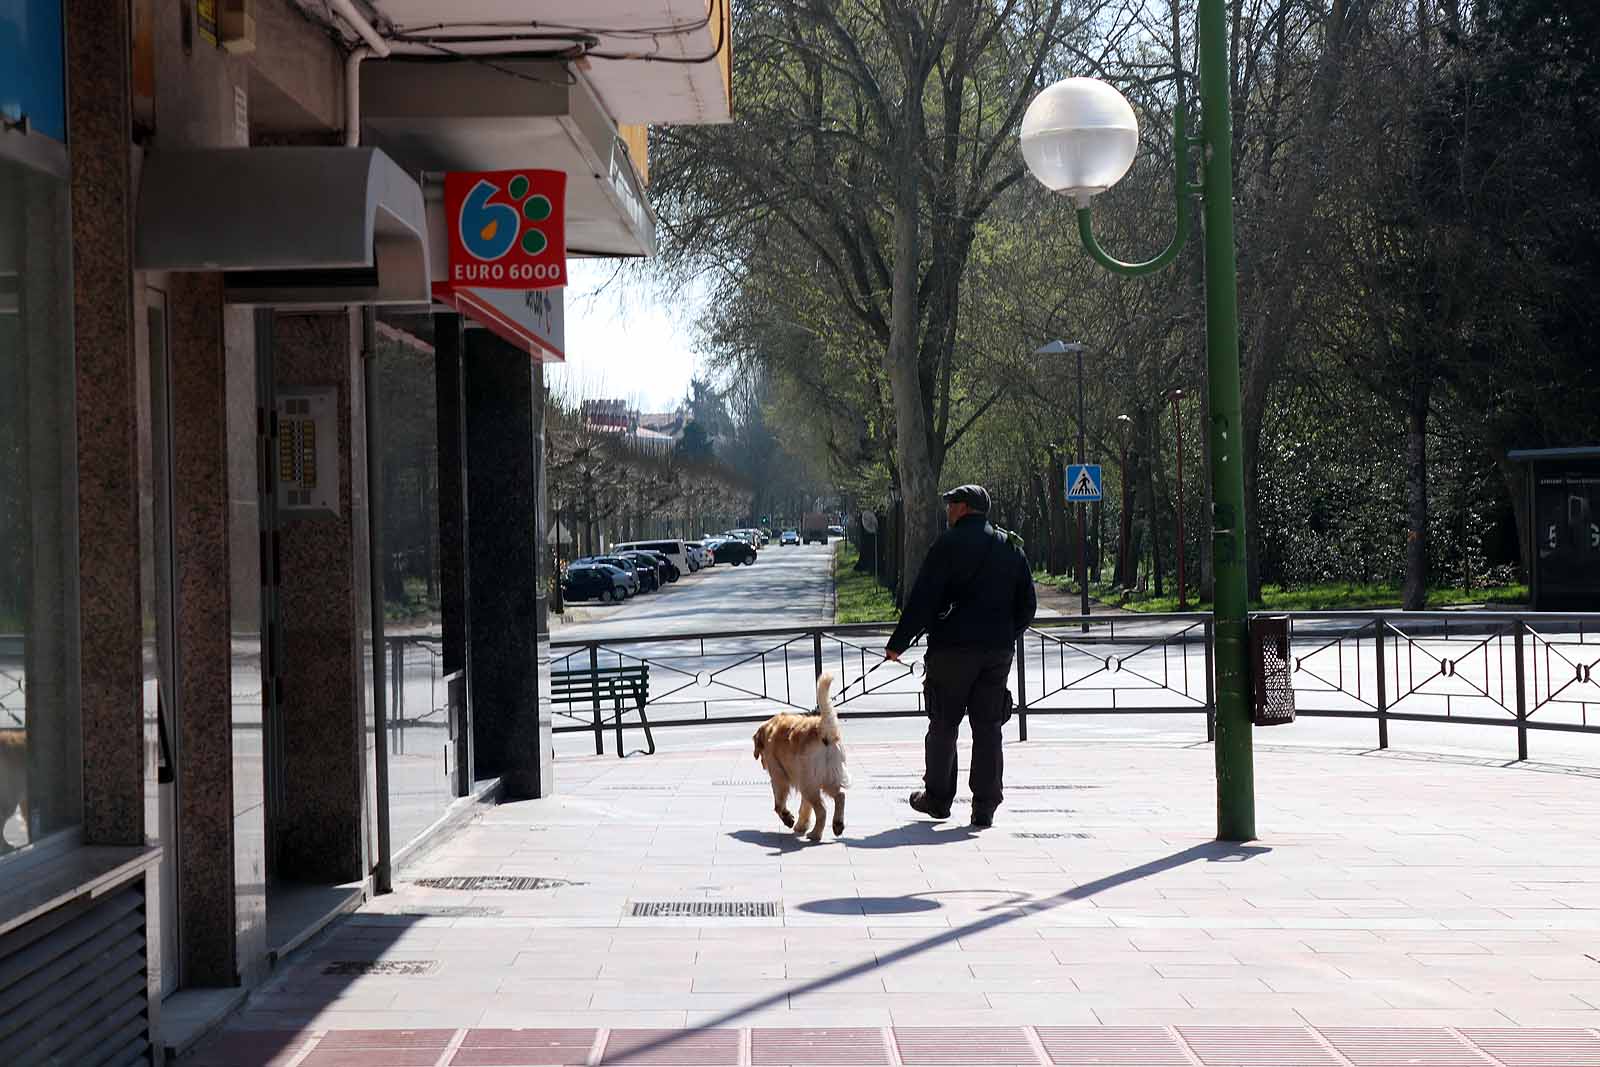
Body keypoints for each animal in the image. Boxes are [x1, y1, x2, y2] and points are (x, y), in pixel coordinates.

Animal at [752, 675, 851, 844]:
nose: (762, 763)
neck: (770, 731)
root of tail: (825, 731)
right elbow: (805, 807)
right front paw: (801, 826)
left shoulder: (778, 776)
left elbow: (778, 803)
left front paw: (788, 819)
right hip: (828, 777)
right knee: (840, 796)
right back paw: (837, 824)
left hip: (810, 782)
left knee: (822, 810)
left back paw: (815, 834)